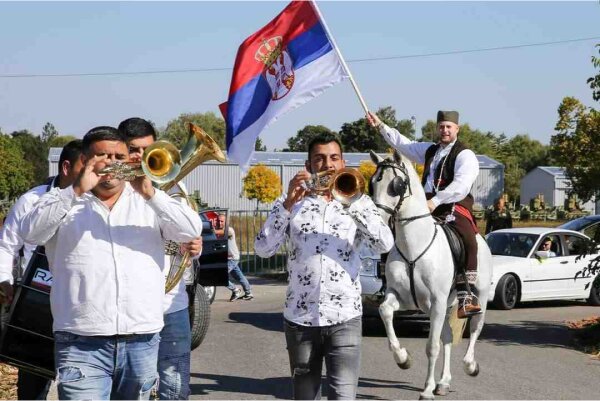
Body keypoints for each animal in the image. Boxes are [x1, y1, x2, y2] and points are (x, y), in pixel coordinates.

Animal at [370, 151, 492, 400]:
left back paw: (470, 365)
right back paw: (443, 382)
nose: (377, 220)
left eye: (397, 185)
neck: (413, 247)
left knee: (476, 327)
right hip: (441, 307)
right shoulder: (405, 298)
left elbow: (432, 346)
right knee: (447, 337)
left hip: (479, 298)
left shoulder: (436, 303)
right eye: (372, 183)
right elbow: (385, 311)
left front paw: (426, 389)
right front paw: (403, 359)